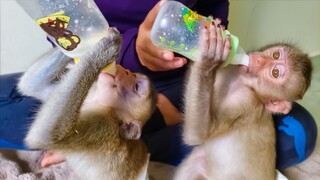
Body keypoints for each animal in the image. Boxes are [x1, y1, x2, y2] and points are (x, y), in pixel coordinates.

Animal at [18, 27, 157, 179]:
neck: (101, 103)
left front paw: (103, 52)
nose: (125, 71)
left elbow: (45, 136)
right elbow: (32, 86)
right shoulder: (92, 92)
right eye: (132, 74)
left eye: (136, 87)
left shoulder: (103, 126)